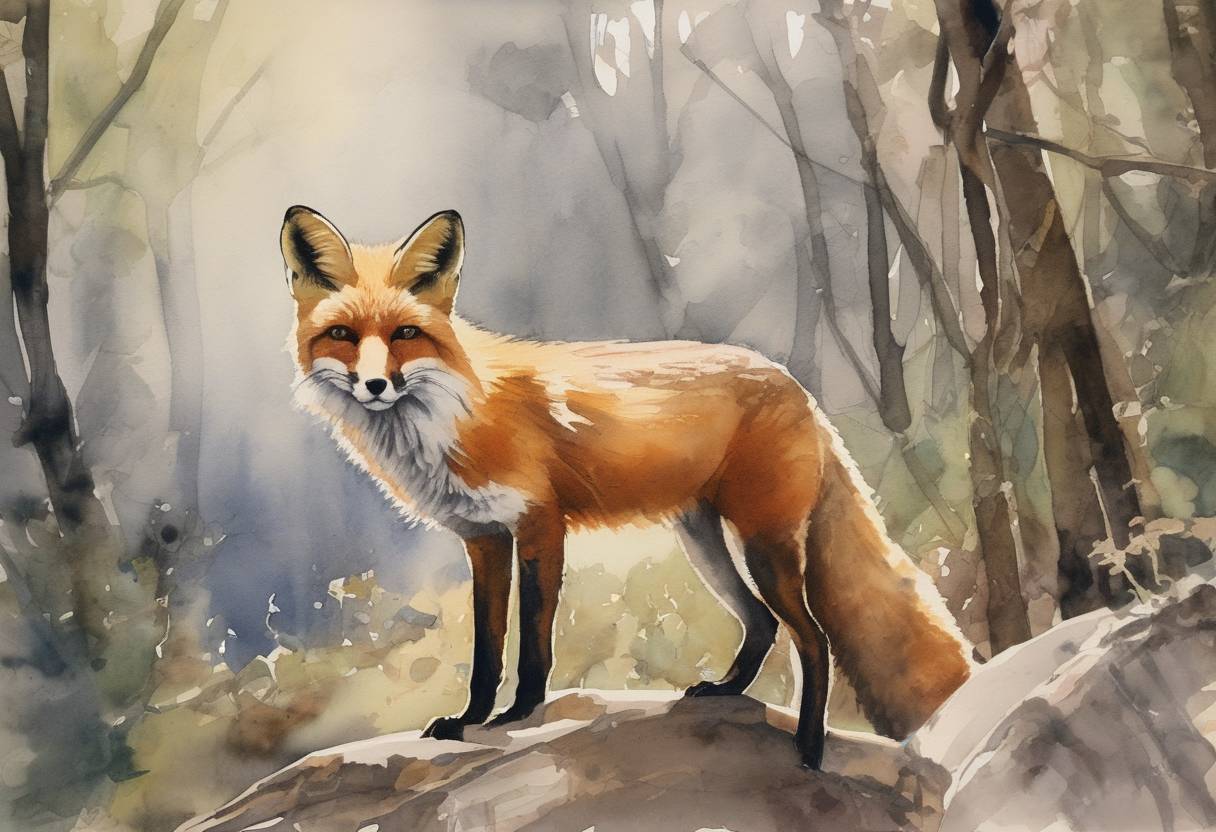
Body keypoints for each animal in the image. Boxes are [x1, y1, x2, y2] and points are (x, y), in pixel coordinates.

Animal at [279, 205, 972, 769]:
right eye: (342, 335)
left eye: (405, 334)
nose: (375, 386)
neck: (454, 413)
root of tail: (794, 383)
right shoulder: (483, 539)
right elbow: (486, 650)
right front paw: (470, 720)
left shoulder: (539, 525)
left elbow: (533, 645)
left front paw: (518, 717)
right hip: (705, 542)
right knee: (761, 626)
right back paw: (725, 693)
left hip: (765, 545)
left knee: (815, 641)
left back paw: (808, 750)